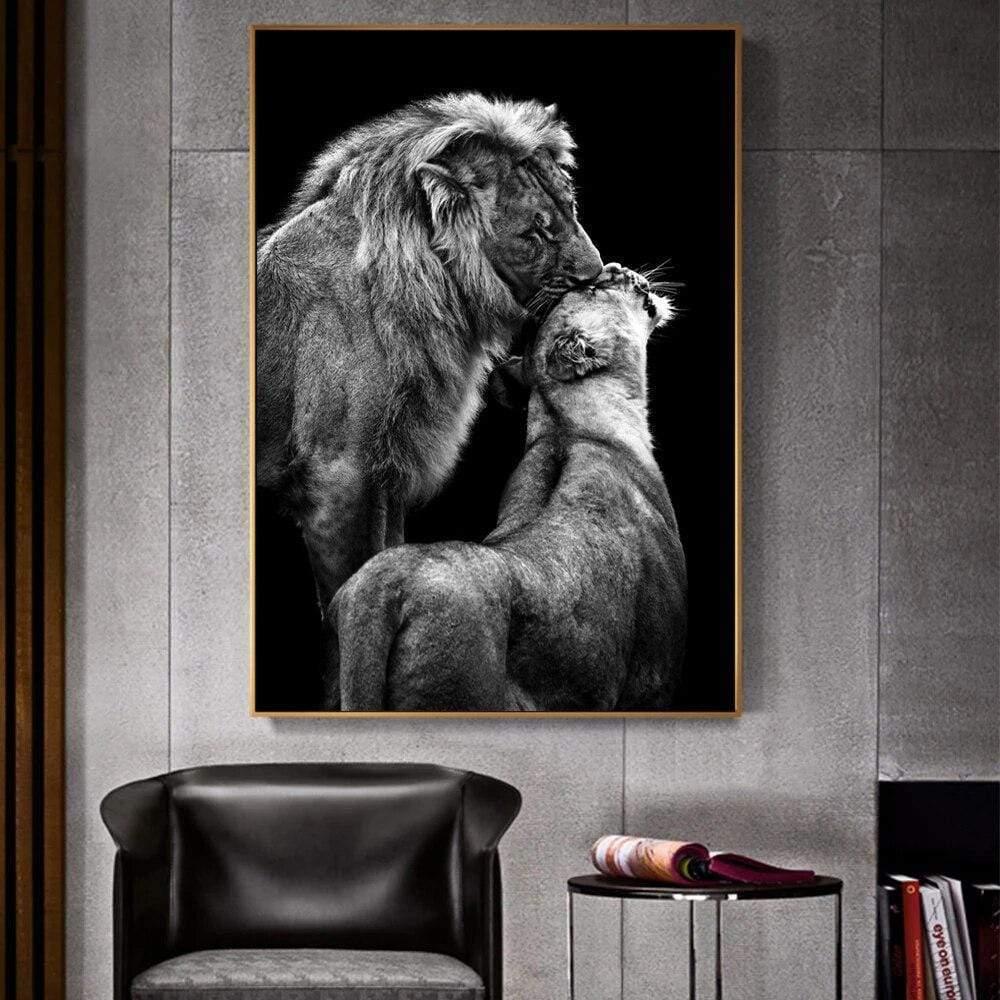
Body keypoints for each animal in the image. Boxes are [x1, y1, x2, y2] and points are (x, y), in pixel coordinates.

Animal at [256, 93, 603, 707]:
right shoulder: (336, 475)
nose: (598, 277)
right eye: (534, 233)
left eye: (571, 210)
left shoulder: (386, 472)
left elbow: (383, 561)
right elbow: (343, 607)